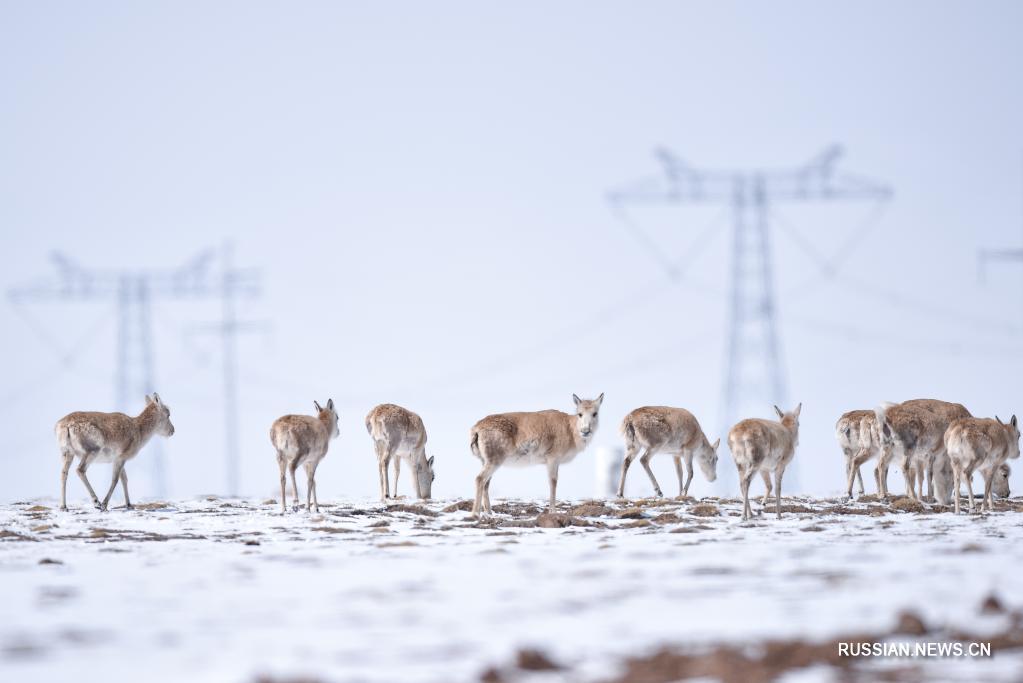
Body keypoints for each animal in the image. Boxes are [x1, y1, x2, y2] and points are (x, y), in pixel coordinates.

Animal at [468, 394, 601, 517]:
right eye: (580, 414)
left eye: (595, 413)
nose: (585, 431)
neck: (571, 430)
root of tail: (476, 428)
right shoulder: (553, 459)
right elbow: (553, 482)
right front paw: (553, 511)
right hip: (494, 461)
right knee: (480, 479)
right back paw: (475, 513)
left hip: (486, 461)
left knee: (486, 484)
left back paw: (489, 512)